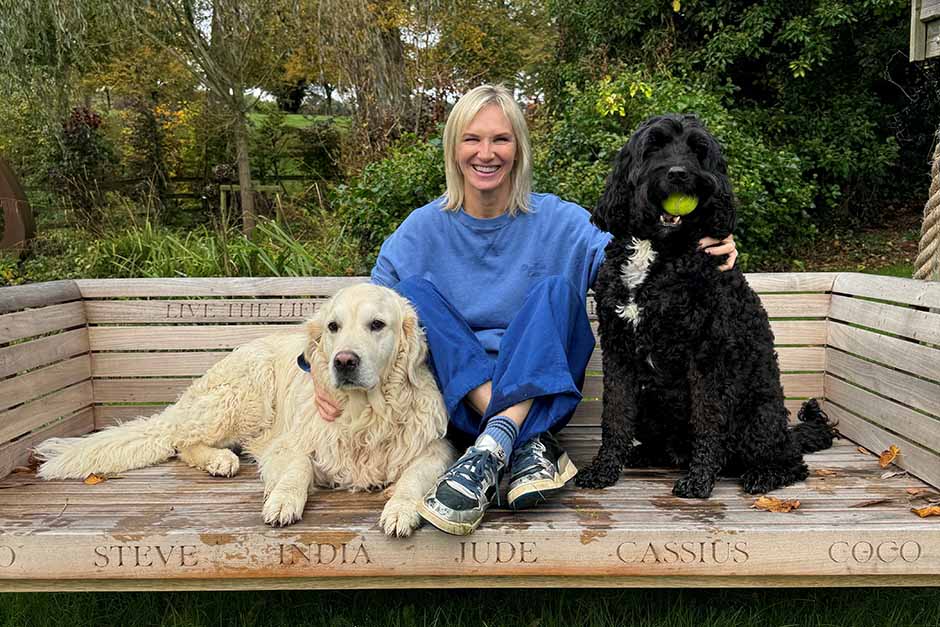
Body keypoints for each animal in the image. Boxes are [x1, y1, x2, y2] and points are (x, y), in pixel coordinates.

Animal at [572, 111, 836, 496]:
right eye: (654, 145)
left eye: (698, 150)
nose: (679, 173)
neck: (658, 250)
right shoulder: (618, 351)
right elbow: (615, 415)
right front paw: (604, 469)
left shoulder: (707, 354)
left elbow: (707, 421)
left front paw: (699, 480)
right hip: (649, 400)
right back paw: (645, 453)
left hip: (758, 416)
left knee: (790, 461)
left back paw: (763, 474)